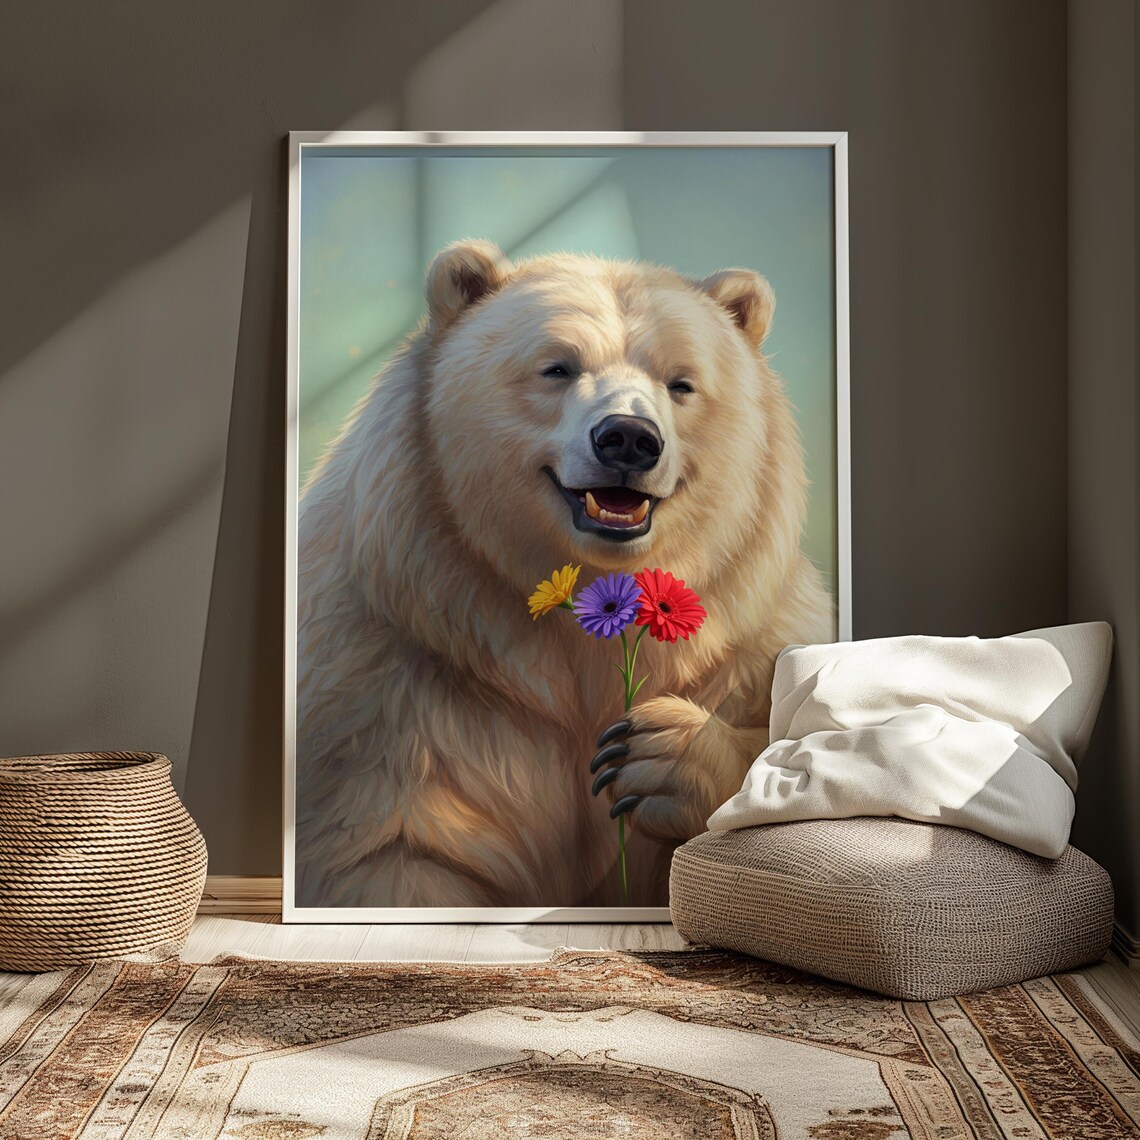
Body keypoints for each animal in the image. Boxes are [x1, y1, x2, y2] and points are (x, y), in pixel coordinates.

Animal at [294, 239, 835, 908]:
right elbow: (395, 851)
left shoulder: (745, 647)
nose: (628, 438)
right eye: (557, 367)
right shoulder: (389, 696)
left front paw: (656, 753)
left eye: (681, 382)